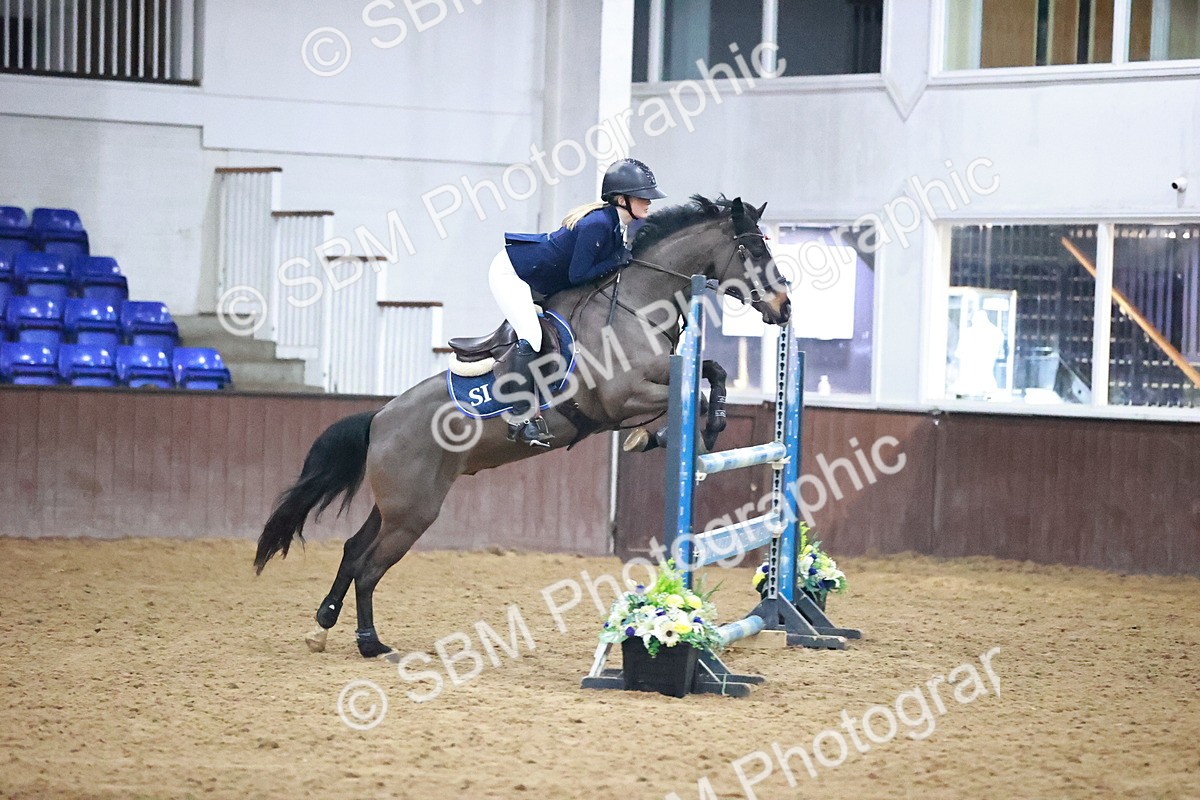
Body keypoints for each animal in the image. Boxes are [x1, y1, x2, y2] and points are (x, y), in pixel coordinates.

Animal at [253, 195, 792, 658]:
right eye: (753, 248)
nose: (784, 307)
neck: (636, 305)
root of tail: (380, 418)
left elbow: (713, 373)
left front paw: (697, 427)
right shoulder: (622, 396)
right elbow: (692, 394)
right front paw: (672, 437)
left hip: (396, 504)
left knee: (352, 550)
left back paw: (322, 626)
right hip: (412, 512)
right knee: (368, 568)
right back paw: (370, 644)